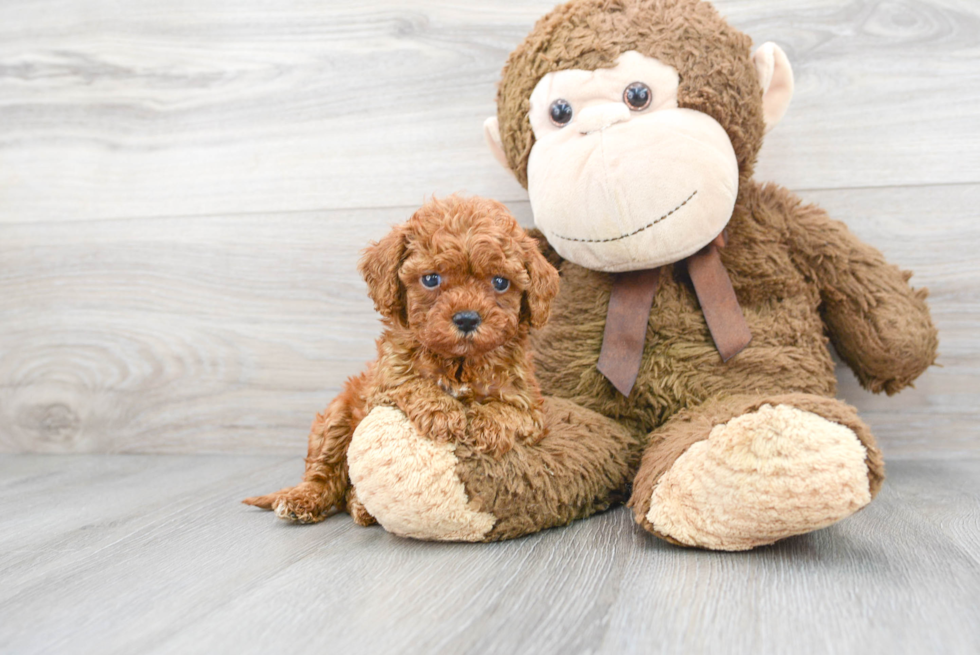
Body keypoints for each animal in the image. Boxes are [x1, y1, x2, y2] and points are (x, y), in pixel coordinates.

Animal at [244, 196, 560, 528]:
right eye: (431, 279)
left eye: (500, 282)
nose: (466, 318)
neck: (459, 362)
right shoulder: (385, 382)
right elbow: (412, 383)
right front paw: (443, 412)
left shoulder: (527, 400)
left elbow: (511, 411)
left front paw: (488, 425)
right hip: (336, 416)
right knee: (325, 473)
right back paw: (304, 500)